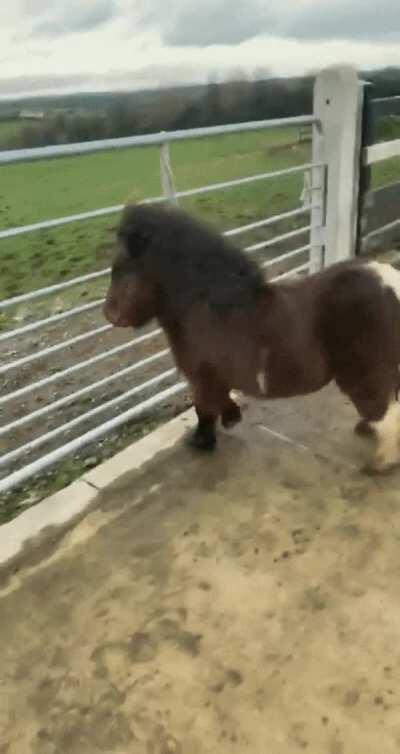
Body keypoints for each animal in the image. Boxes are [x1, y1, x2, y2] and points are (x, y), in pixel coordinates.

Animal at [104, 202, 400, 474]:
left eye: (120, 269)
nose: (110, 315)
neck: (207, 304)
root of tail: (390, 285)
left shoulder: (202, 377)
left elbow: (203, 409)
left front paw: (202, 442)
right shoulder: (215, 378)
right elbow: (218, 402)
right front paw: (230, 418)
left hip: (364, 375)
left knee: (386, 412)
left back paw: (380, 461)